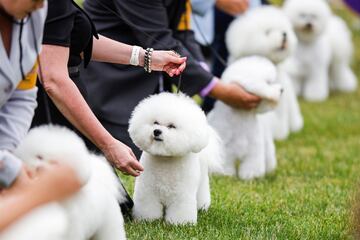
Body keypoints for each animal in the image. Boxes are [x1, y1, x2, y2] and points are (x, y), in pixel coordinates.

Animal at [126, 92, 222, 225]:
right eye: (155, 122)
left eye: (171, 126)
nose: (156, 131)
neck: (165, 159)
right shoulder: (147, 192)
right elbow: (148, 207)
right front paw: (147, 220)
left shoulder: (182, 196)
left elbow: (180, 211)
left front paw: (180, 224)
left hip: (202, 181)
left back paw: (203, 207)